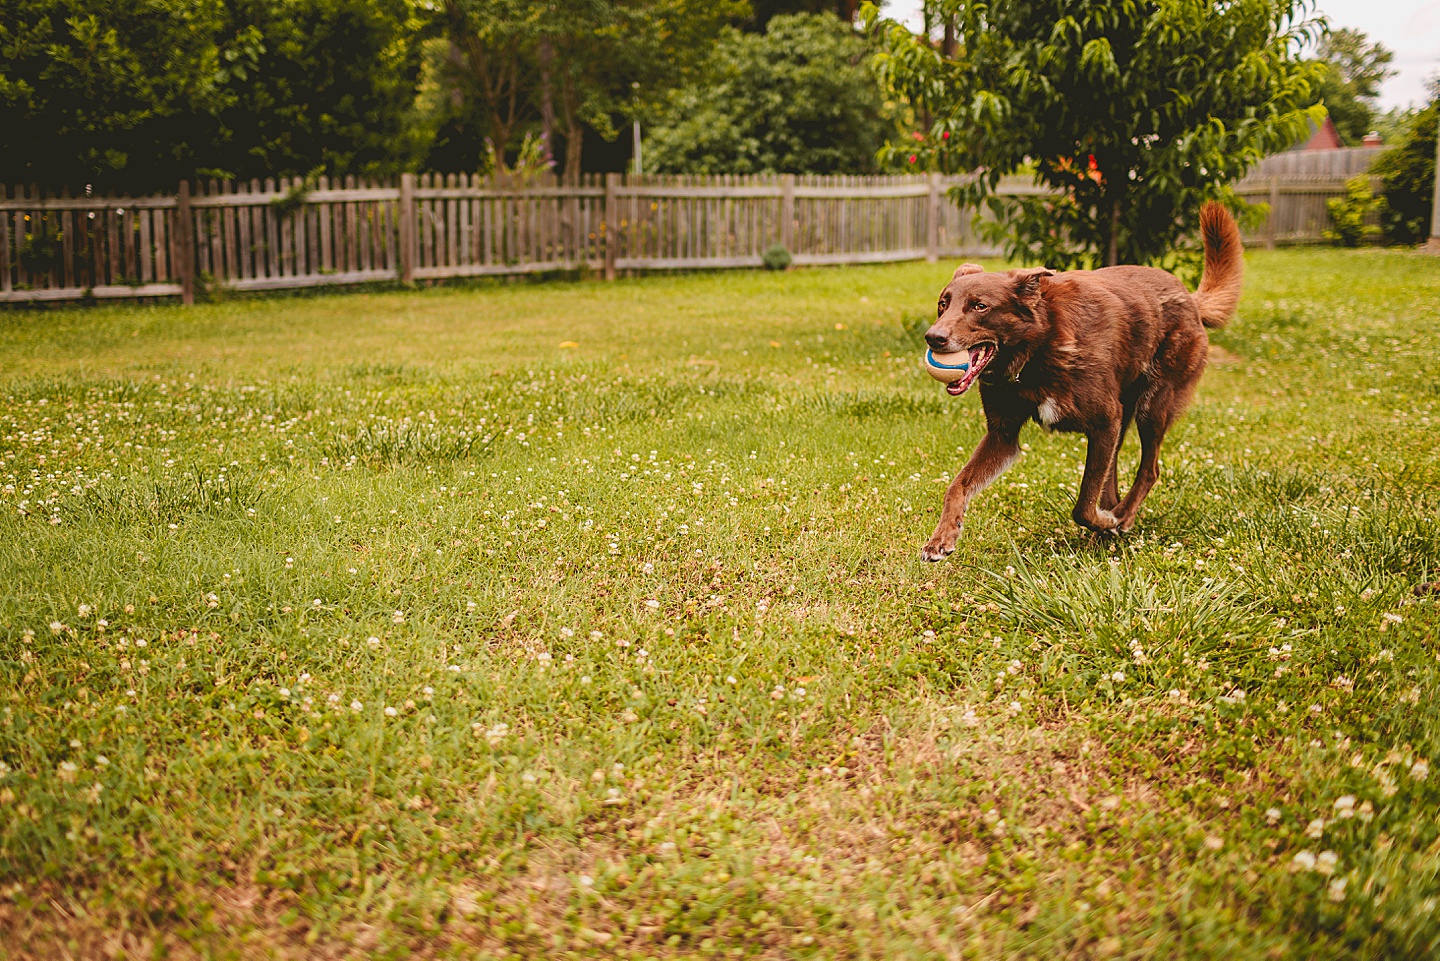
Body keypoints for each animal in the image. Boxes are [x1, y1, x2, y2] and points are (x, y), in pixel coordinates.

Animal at [927, 204, 1244, 564]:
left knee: (1149, 471)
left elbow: (1082, 505)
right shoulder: (1003, 436)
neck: (1035, 350)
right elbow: (958, 484)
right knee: (1111, 480)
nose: (933, 337)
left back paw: (1122, 517)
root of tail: (1191, 300)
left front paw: (1109, 522)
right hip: (1121, 421)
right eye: (943, 304)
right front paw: (942, 537)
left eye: (980, 306)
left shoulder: (1104, 422)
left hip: (1152, 407)